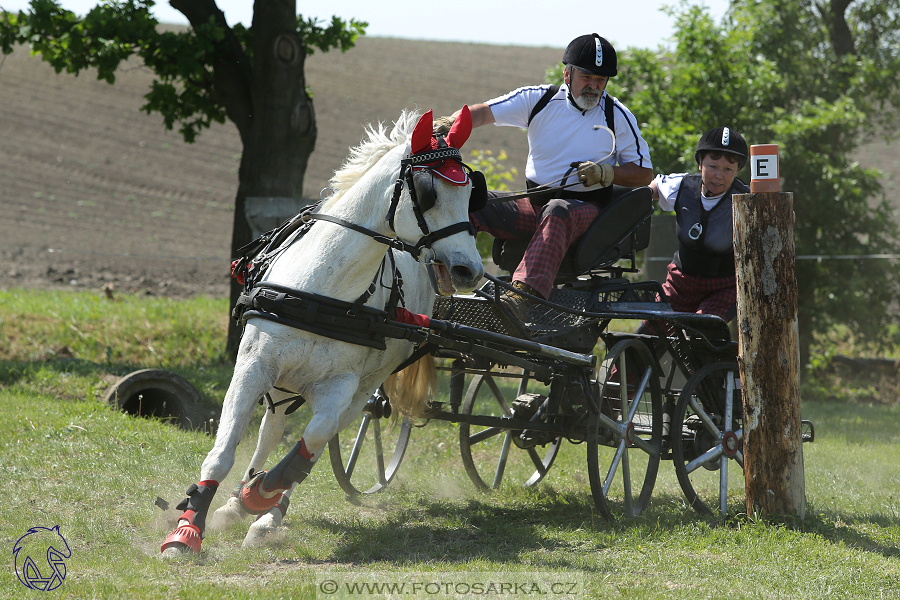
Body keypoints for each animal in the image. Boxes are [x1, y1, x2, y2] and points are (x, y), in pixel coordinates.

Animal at [161, 106, 486, 552]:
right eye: (428, 191)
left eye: (472, 192)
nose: (470, 270)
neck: (325, 289)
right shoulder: (252, 367)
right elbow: (224, 450)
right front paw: (188, 528)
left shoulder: (340, 387)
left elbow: (311, 444)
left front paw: (260, 496)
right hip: (283, 382)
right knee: (271, 429)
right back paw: (234, 502)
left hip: (364, 389)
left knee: (311, 444)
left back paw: (265, 513)